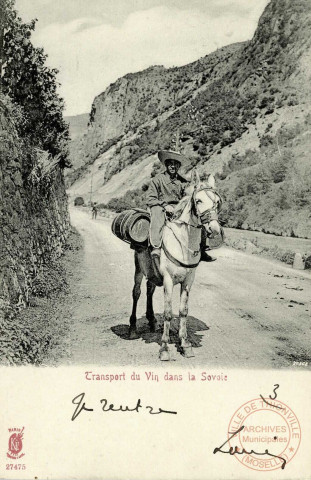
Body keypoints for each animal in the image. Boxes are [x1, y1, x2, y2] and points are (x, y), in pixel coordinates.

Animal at [130, 172, 223, 360]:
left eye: (217, 201)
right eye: (199, 200)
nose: (214, 229)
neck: (183, 245)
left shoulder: (188, 281)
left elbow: (183, 311)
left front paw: (185, 344)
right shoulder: (168, 280)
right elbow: (168, 313)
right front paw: (165, 348)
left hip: (152, 273)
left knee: (149, 290)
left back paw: (152, 320)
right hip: (138, 269)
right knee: (136, 293)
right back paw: (132, 329)